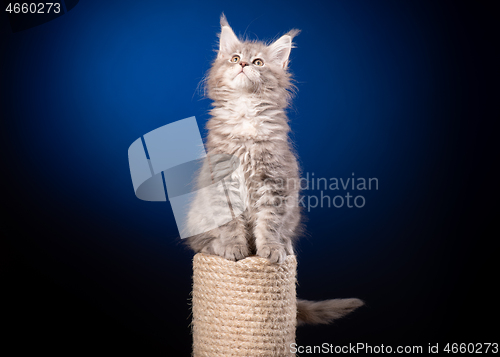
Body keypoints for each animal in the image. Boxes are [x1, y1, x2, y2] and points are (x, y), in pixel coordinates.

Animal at [186, 15, 362, 324]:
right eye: (234, 58)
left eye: (258, 62)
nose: (244, 64)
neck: (245, 116)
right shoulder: (221, 182)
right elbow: (230, 223)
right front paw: (234, 249)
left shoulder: (275, 179)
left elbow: (268, 221)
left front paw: (269, 250)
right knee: (199, 242)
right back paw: (216, 246)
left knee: (285, 230)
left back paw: (285, 245)